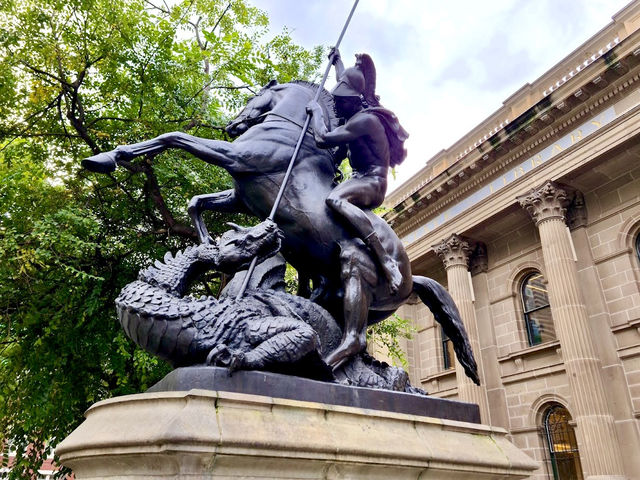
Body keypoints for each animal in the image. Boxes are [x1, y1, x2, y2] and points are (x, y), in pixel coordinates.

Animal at [82, 78, 478, 378]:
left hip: (356, 268)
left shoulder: (234, 156)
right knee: (341, 327)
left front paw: (107, 158)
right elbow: (196, 201)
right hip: (340, 296)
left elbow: (174, 136)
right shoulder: (241, 195)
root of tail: (411, 276)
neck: (293, 133)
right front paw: (213, 245)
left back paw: (318, 366)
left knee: (355, 338)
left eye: (252, 97)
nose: (232, 126)